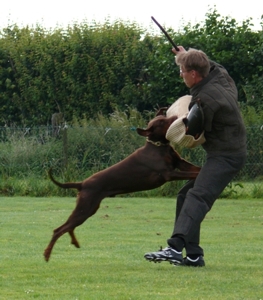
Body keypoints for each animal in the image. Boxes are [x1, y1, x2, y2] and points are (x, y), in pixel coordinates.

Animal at [44, 111, 201, 262]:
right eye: (162, 122)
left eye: (165, 116)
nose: (176, 117)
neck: (158, 146)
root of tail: (82, 183)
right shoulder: (169, 174)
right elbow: (193, 174)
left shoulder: (180, 163)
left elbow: (197, 169)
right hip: (85, 207)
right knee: (59, 229)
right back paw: (47, 254)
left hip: (89, 209)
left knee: (69, 227)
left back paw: (74, 243)